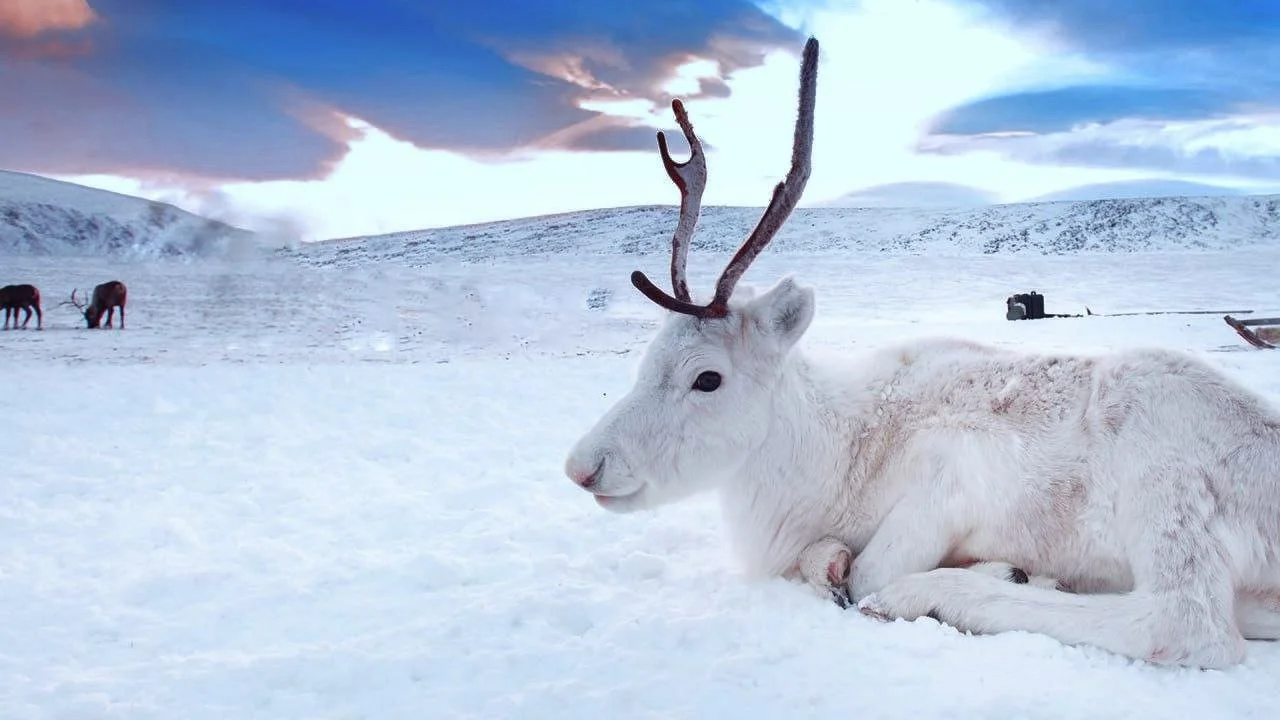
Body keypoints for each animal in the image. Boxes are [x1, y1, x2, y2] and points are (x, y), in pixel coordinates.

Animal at [562, 36, 1280, 669]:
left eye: (706, 379)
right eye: (646, 361)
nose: (582, 468)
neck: (827, 450)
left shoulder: (952, 475)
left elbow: (865, 570)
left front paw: (981, 572)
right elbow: (822, 562)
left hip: (1161, 476)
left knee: (1186, 623)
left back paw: (937, 593)